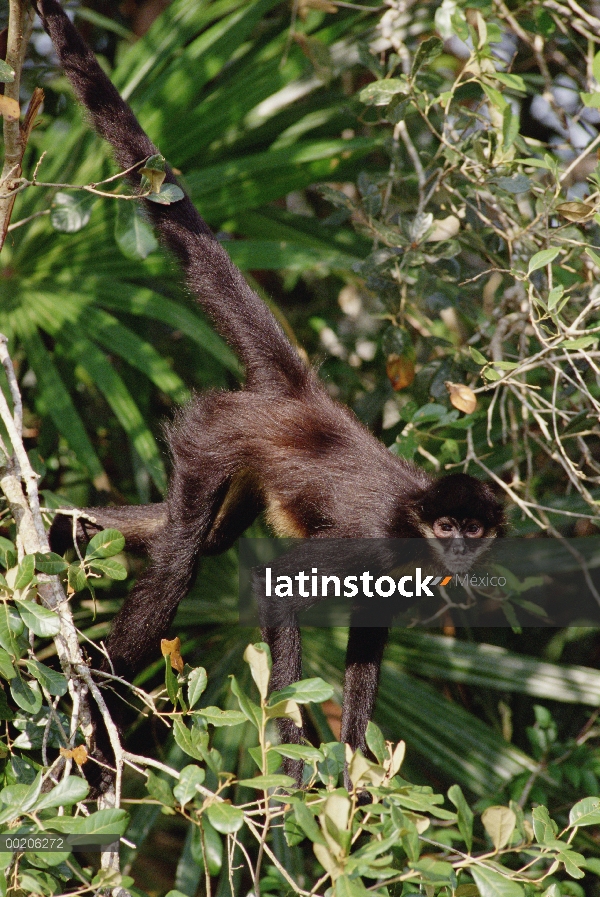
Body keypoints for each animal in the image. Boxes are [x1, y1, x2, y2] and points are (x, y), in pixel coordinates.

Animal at [37, 0, 504, 792]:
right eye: (447, 526)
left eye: (472, 529)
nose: (459, 548)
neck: (415, 525)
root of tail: (299, 394)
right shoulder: (377, 534)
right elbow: (278, 580)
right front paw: (289, 755)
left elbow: (368, 632)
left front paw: (352, 774)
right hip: (211, 437)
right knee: (182, 562)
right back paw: (101, 733)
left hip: (244, 466)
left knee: (196, 535)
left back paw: (51, 524)